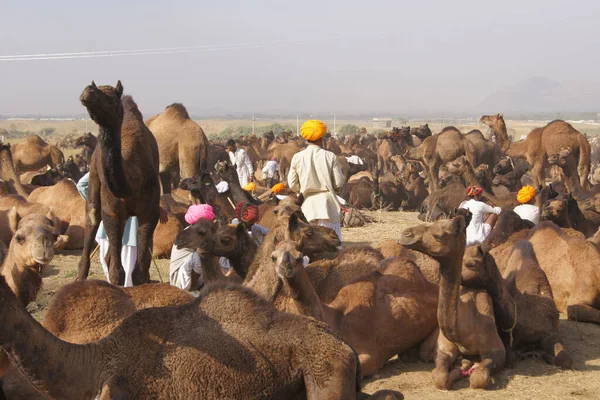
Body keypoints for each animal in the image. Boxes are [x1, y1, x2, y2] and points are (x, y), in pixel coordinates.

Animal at [77, 81, 162, 286]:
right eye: (96, 88)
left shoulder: (150, 211)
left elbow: (139, 272)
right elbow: (117, 272)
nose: (88, 91)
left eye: (112, 98)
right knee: (92, 215)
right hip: (94, 176)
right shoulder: (112, 212)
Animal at [398, 217, 506, 390]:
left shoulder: (497, 350)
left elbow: (479, 377)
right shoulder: (443, 348)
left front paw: (468, 367)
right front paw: (459, 368)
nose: (406, 234)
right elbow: (439, 376)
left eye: (439, 236)